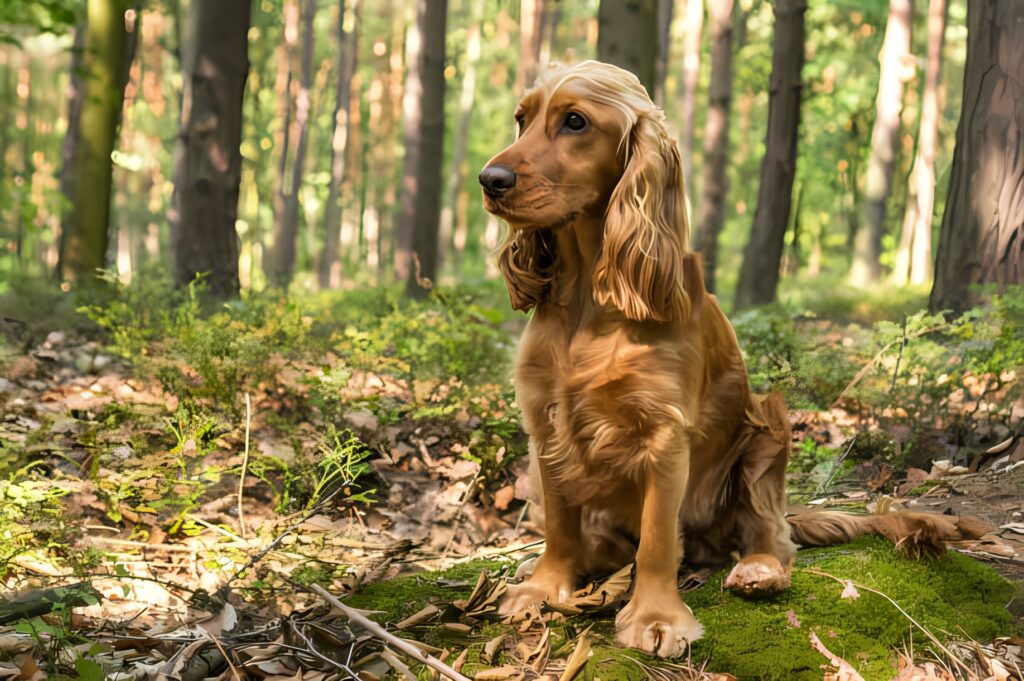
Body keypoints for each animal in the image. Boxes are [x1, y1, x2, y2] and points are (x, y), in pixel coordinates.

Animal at [479, 61, 991, 655]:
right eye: (522, 119)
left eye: (576, 121)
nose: (489, 180)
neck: (590, 294)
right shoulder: (547, 422)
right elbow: (559, 524)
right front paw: (543, 587)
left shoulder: (664, 431)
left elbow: (658, 537)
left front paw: (656, 617)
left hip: (767, 425)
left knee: (772, 534)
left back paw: (759, 569)